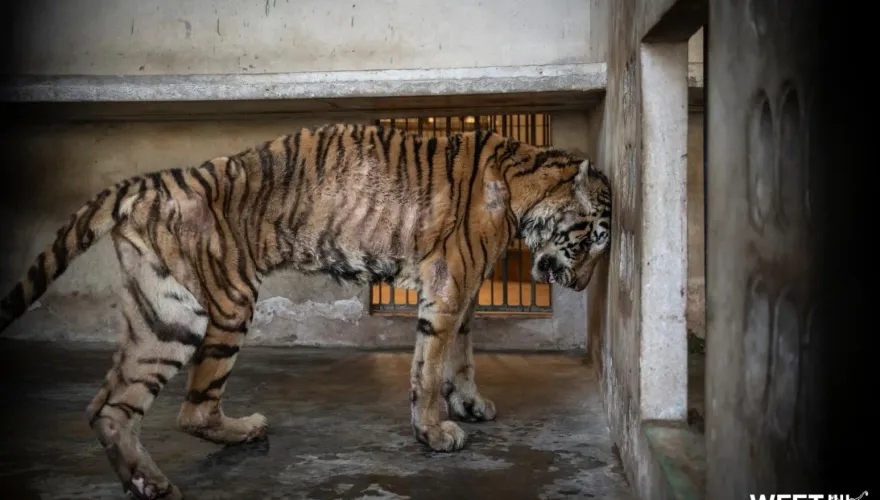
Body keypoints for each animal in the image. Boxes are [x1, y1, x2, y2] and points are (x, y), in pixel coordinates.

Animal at [0, 123, 611, 499]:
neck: (525, 185)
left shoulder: (465, 291)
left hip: (161, 316)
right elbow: (430, 363)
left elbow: (460, 353)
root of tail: (154, 181)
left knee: (109, 406)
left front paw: (469, 404)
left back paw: (148, 482)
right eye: (591, 241)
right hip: (218, 307)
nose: (581, 285)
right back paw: (234, 436)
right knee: (191, 410)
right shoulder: (449, 282)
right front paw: (435, 431)